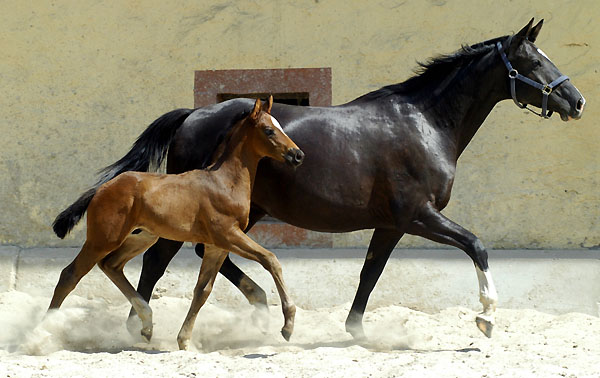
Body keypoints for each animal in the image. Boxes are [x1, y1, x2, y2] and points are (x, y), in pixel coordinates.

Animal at [48, 96, 304, 348]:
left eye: (281, 127)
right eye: (269, 130)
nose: (297, 154)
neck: (223, 182)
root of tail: (101, 189)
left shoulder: (217, 246)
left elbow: (203, 290)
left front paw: (184, 340)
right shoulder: (228, 234)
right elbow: (270, 259)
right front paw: (288, 325)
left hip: (143, 236)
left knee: (111, 265)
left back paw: (147, 324)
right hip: (102, 239)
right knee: (70, 275)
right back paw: (45, 331)